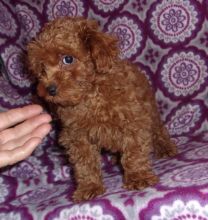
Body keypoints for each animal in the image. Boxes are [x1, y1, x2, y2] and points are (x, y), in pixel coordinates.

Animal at [27, 16, 177, 203]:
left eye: (68, 59)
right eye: (42, 67)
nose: (49, 89)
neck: (90, 95)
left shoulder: (132, 121)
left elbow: (134, 152)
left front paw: (138, 177)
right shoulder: (77, 136)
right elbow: (85, 163)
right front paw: (89, 187)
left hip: (150, 109)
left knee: (158, 130)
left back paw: (166, 148)